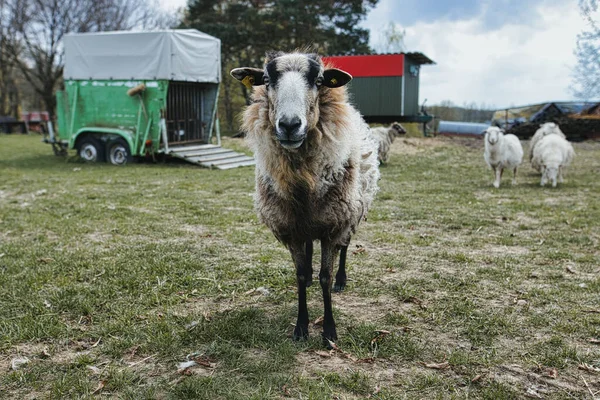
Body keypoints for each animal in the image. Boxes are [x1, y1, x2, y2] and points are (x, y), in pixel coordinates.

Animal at [231, 50, 380, 346]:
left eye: (319, 80)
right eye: (266, 80)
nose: (289, 125)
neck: (303, 182)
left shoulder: (333, 225)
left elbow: (326, 276)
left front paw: (329, 330)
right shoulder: (290, 228)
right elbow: (299, 276)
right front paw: (301, 327)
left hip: (351, 212)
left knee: (345, 247)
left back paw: (342, 280)